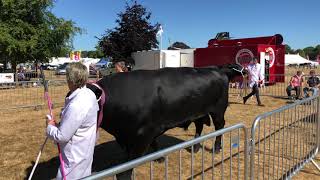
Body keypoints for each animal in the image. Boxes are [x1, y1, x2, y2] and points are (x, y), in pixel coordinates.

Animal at [87, 63, 245, 176]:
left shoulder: (144, 133)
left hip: (218, 109)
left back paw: (216, 148)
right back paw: (195, 147)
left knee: (219, 127)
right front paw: (159, 157)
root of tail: (218, 68)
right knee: (199, 125)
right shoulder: (131, 134)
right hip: (198, 112)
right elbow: (150, 145)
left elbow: (130, 164)